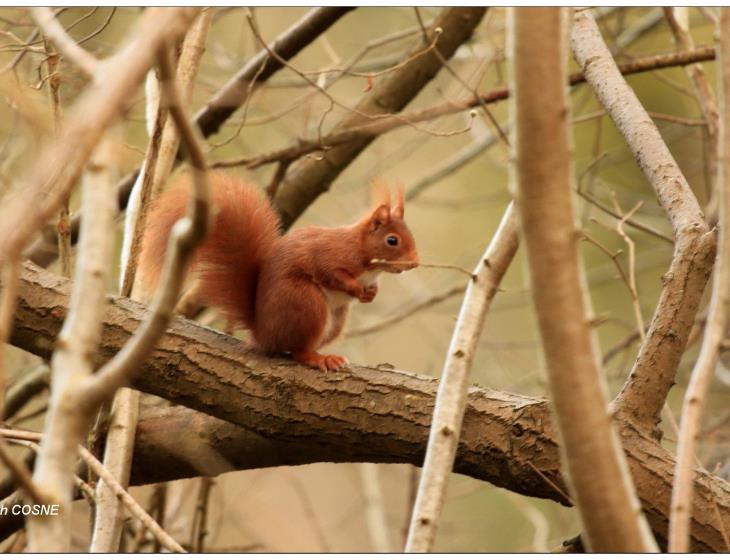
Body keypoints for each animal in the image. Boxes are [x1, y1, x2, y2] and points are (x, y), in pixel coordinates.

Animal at [139, 173, 418, 370]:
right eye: (392, 240)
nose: (415, 263)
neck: (361, 251)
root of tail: (263, 333)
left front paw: (371, 293)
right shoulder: (330, 255)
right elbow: (331, 273)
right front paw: (356, 288)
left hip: (336, 320)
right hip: (306, 302)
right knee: (297, 350)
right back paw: (318, 358)